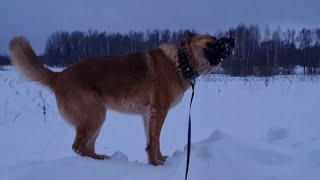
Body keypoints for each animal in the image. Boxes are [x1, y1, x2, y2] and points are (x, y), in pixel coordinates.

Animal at [8, 32, 234, 165]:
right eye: (213, 40)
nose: (232, 39)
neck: (180, 61)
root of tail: (59, 75)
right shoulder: (158, 112)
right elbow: (155, 140)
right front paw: (156, 164)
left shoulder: (148, 115)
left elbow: (153, 141)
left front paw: (159, 159)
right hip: (96, 116)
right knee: (78, 146)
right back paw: (100, 160)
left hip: (96, 122)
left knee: (85, 146)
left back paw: (100, 158)